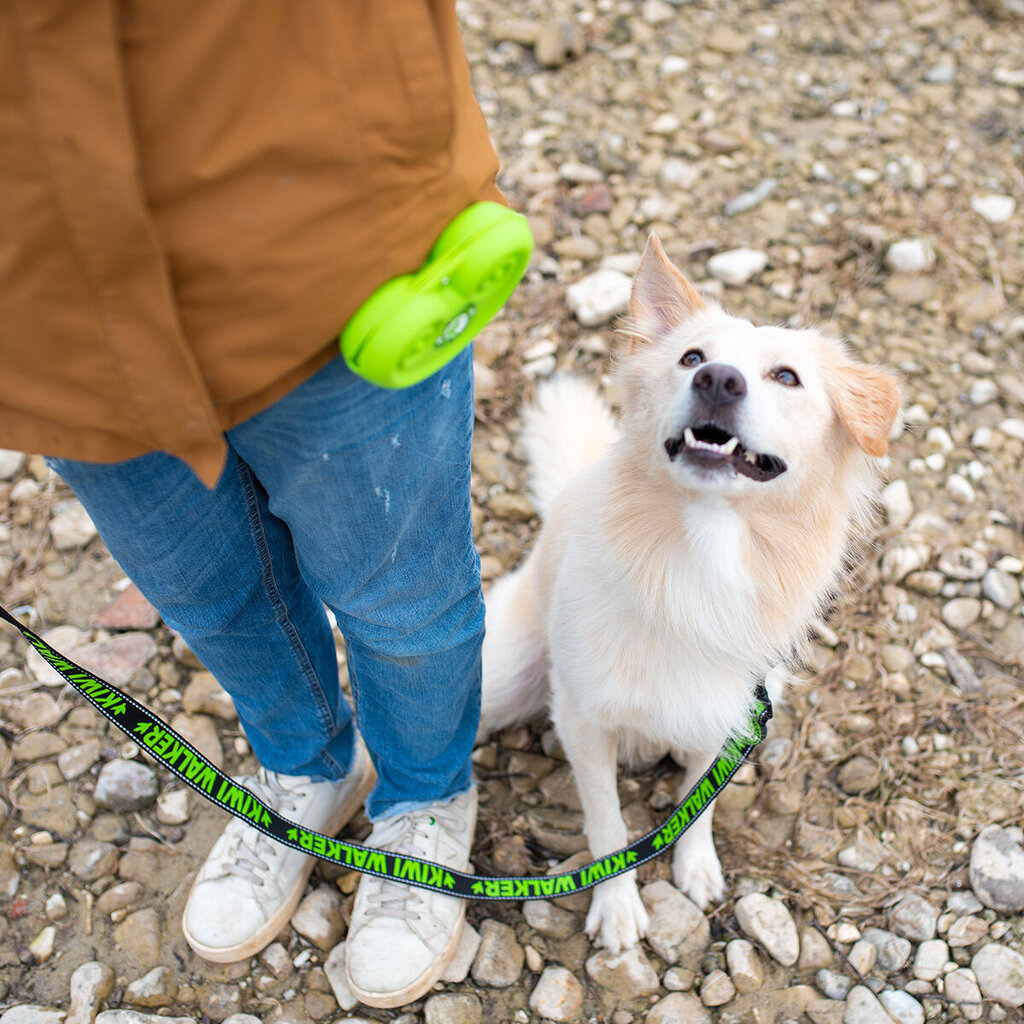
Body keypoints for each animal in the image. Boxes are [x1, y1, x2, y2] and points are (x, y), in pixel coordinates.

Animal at [479, 232, 897, 950]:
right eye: (691, 358)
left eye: (786, 377)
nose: (718, 380)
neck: (704, 548)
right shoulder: (583, 720)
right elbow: (609, 825)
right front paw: (617, 906)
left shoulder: (728, 718)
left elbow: (696, 808)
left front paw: (694, 867)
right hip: (504, 677)